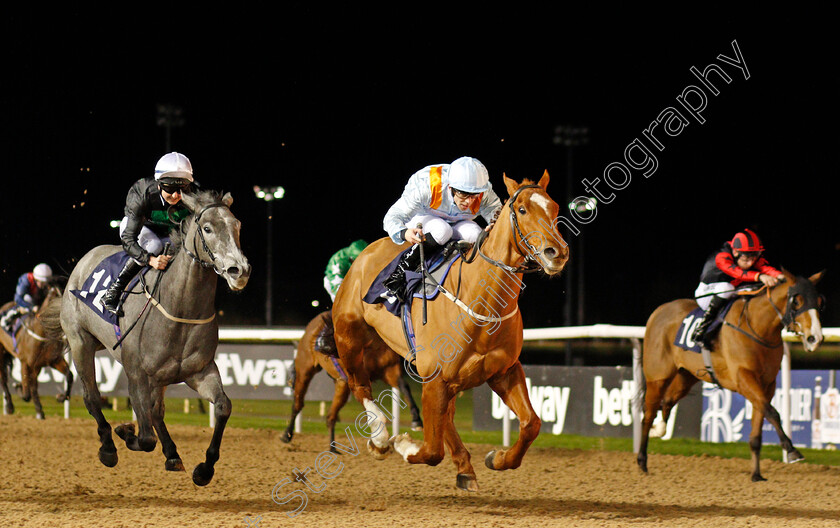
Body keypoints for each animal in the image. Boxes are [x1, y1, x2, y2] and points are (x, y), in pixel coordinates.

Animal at [0, 284, 73, 420]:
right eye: (53, 298)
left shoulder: (52, 361)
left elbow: (69, 375)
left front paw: (61, 398)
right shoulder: (25, 362)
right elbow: (26, 393)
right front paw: (19, 387)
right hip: (1, 354)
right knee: (3, 379)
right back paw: (10, 406)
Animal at [40, 191, 249, 486]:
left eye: (237, 225)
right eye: (207, 228)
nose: (238, 270)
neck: (179, 307)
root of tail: (83, 262)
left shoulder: (200, 370)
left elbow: (222, 407)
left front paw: (204, 469)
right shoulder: (137, 374)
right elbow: (146, 436)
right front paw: (126, 432)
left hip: (159, 377)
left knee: (157, 410)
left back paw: (172, 454)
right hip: (81, 341)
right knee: (92, 397)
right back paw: (108, 447)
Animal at [282, 310, 424, 454]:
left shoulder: (390, 371)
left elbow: (404, 387)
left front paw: (416, 420)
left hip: (341, 385)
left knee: (330, 416)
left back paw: (333, 448)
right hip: (305, 369)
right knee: (298, 404)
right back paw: (287, 435)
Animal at [332, 174, 568, 490]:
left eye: (554, 208)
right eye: (521, 210)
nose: (557, 253)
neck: (480, 302)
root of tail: (363, 255)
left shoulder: (503, 371)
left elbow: (531, 424)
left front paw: (497, 458)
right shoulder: (434, 377)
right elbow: (431, 450)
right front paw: (404, 445)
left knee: (448, 418)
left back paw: (464, 467)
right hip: (349, 338)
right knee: (360, 386)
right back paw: (380, 439)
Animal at [636, 270, 828, 480]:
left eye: (820, 301)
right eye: (796, 301)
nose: (815, 338)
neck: (758, 328)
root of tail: (658, 311)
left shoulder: (766, 385)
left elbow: (759, 424)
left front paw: (756, 474)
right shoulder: (743, 379)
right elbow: (772, 412)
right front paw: (792, 450)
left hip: (686, 376)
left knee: (668, 401)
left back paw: (659, 430)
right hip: (657, 377)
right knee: (648, 414)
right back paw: (642, 461)